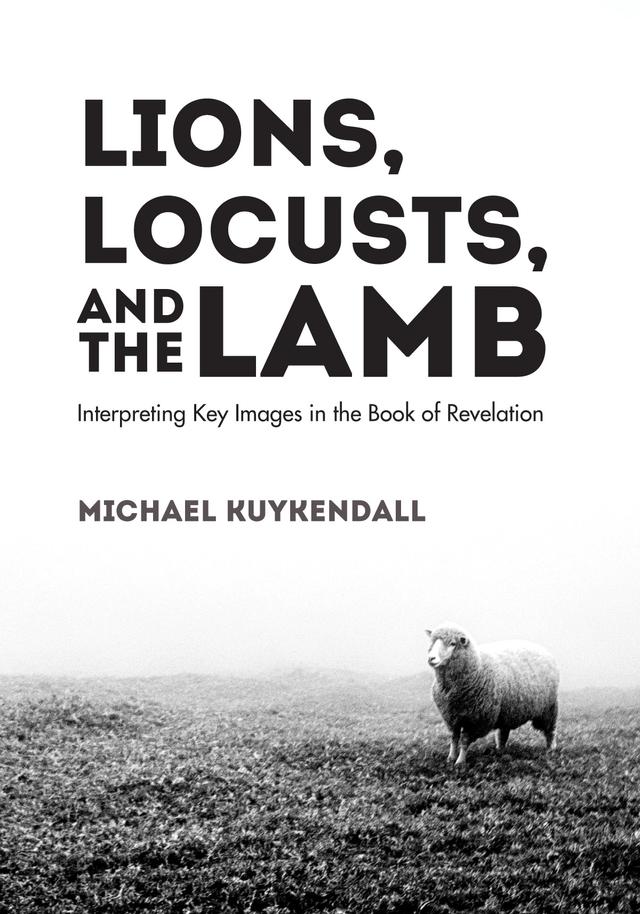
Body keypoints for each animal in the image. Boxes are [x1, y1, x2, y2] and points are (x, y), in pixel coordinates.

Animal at [425, 623, 559, 766]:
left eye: (452, 643)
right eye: (433, 642)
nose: (431, 658)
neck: (477, 668)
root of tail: (540, 647)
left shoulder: (476, 720)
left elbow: (464, 740)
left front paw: (460, 762)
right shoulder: (452, 716)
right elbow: (454, 738)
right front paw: (450, 758)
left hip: (548, 708)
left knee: (550, 729)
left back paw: (551, 749)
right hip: (508, 710)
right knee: (503, 733)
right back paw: (500, 750)